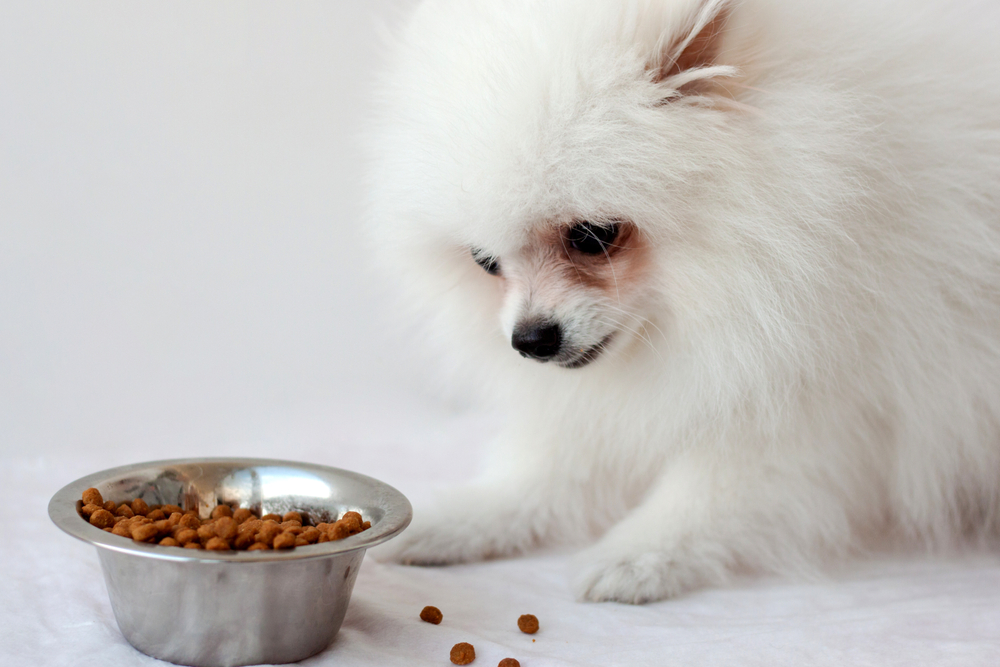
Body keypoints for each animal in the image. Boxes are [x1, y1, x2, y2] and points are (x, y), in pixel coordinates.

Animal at [366, 0, 1000, 604]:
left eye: (593, 235)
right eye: (484, 261)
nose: (531, 340)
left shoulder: (809, 399)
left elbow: (710, 492)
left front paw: (638, 555)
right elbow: (553, 472)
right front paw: (465, 518)